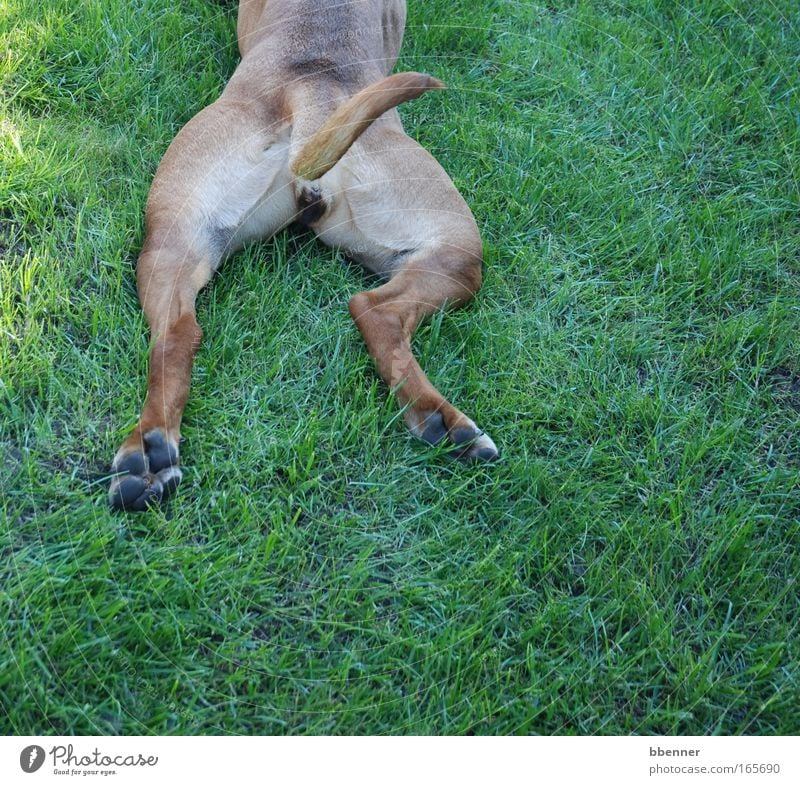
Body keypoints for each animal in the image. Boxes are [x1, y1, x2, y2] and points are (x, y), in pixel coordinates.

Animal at [109, 0, 496, 512]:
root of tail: (315, 91)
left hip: (174, 245)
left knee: (177, 334)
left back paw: (149, 453)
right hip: (459, 247)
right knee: (374, 310)